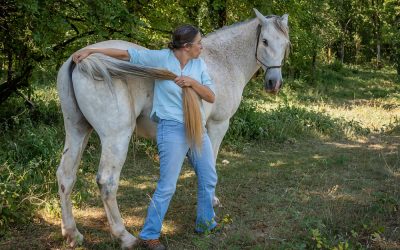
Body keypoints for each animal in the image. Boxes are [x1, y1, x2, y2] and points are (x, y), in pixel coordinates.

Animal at [55, 8, 288, 249]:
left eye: (285, 44)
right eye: (265, 41)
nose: (274, 83)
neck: (224, 60)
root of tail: (80, 59)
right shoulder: (218, 125)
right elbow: (211, 164)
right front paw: (211, 203)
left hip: (77, 131)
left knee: (65, 176)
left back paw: (72, 233)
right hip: (116, 138)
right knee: (107, 182)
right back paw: (125, 236)